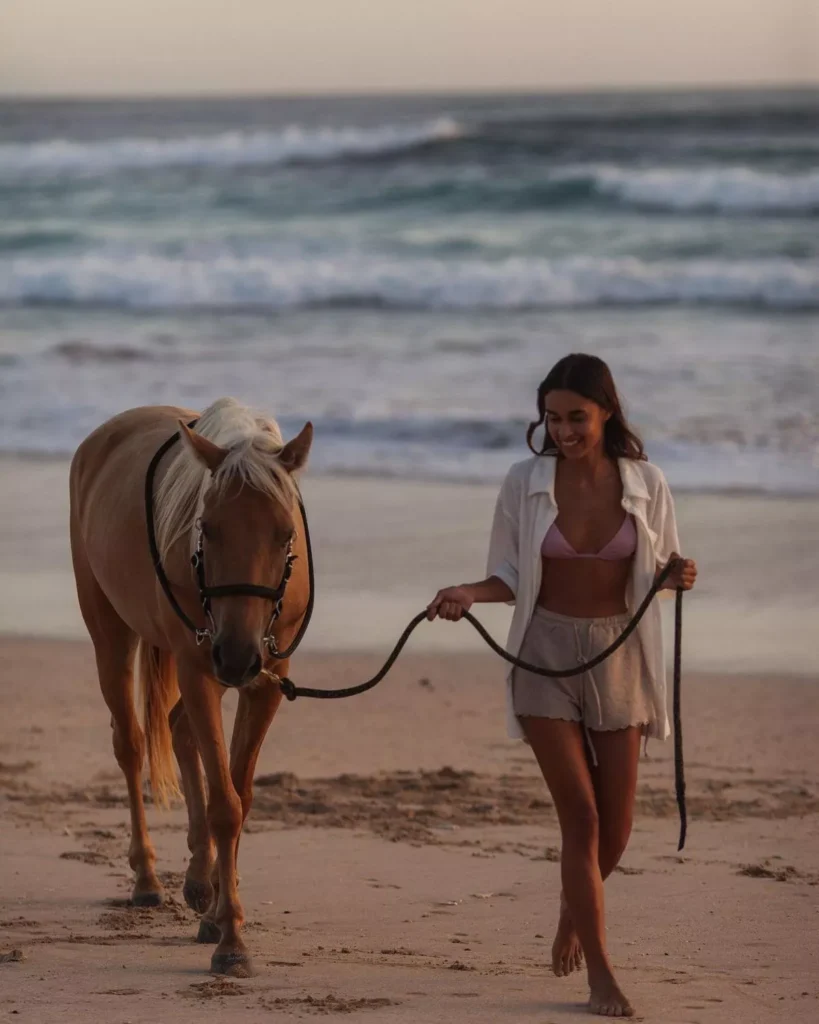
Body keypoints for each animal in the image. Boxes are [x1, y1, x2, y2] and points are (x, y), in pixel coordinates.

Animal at [69, 397, 312, 976]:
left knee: (179, 731)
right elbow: (225, 804)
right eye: (208, 527)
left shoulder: (266, 682)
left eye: (285, 533)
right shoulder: (200, 671)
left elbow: (240, 795)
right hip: (112, 635)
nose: (238, 652)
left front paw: (221, 909)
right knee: (132, 746)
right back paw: (147, 878)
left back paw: (202, 881)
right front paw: (232, 941)